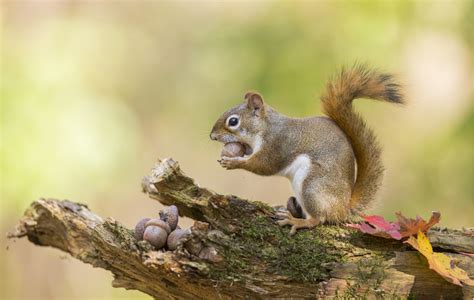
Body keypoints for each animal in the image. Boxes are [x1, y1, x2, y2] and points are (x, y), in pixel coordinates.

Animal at [209, 64, 402, 236]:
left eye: (233, 121)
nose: (212, 136)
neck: (266, 127)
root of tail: (343, 207)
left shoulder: (277, 144)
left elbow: (264, 166)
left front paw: (233, 163)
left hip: (312, 186)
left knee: (318, 219)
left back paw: (297, 221)